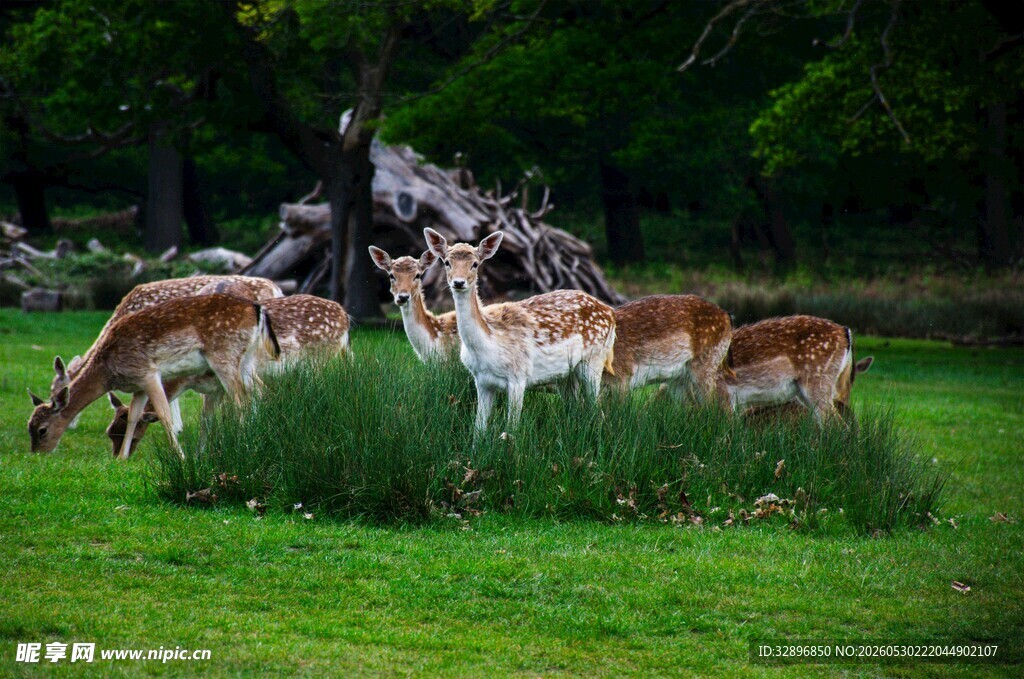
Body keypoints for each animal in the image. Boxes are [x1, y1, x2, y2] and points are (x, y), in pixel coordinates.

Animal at [29, 293, 280, 459]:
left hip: (224, 356)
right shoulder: (138, 384)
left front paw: (181, 457)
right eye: (109, 433)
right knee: (259, 392)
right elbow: (134, 416)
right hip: (246, 360)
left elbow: (165, 416)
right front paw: (122, 460)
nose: (37, 454)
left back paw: (246, 445)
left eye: (42, 430)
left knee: (241, 400)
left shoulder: (148, 373)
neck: (108, 370)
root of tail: (257, 310)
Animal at [101, 293, 350, 456]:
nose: (118, 457)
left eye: (129, 434)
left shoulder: (217, 383)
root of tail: (345, 318)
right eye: (110, 432)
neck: (185, 381)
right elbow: (208, 418)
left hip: (317, 361)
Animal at [424, 227, 617, 432]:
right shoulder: (481, 381)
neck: (488, 342)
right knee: (577, 408)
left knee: (597, 409)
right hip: (566, 375)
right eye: (447, 262)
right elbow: (479, 429)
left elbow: (512, 428)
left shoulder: (518, 376)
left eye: (475, 264)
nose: (459, 282)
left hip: (595, 359)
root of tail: (610, 311)